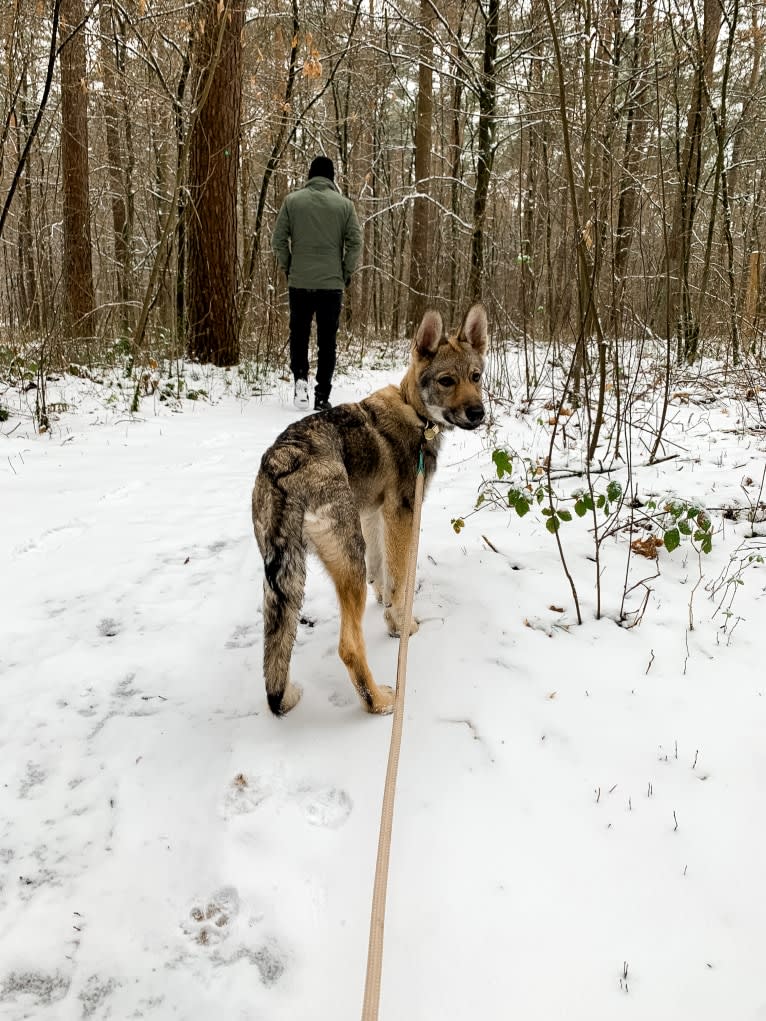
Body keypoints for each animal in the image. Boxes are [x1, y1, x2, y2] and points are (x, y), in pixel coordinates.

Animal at [255, 304, 488, 718]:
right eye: (446, 381)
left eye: (476, 377)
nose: (478, 412)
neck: (416, 413)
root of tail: (283, 466)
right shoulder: (404, 513)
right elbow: (400, 579)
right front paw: (400, 625)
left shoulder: (375, 515)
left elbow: (382, 573)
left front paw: (386, 603)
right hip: (348, 562)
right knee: (349, 647)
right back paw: (379, 702)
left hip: (280, 584)